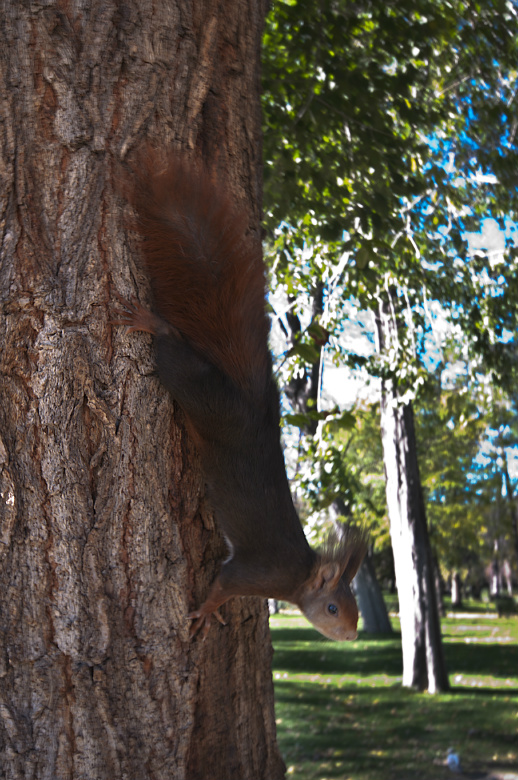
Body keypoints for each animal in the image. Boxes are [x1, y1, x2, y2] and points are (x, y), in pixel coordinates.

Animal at [114, 152, 367, 640]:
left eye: (354, 608)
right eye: (332, 607)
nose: (351, 634)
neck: (297, 577)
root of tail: (253, 409)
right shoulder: (254, 573)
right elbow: (223, 586)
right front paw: (207, 612)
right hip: (199, 393)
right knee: (172, 347)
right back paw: (152, 323)